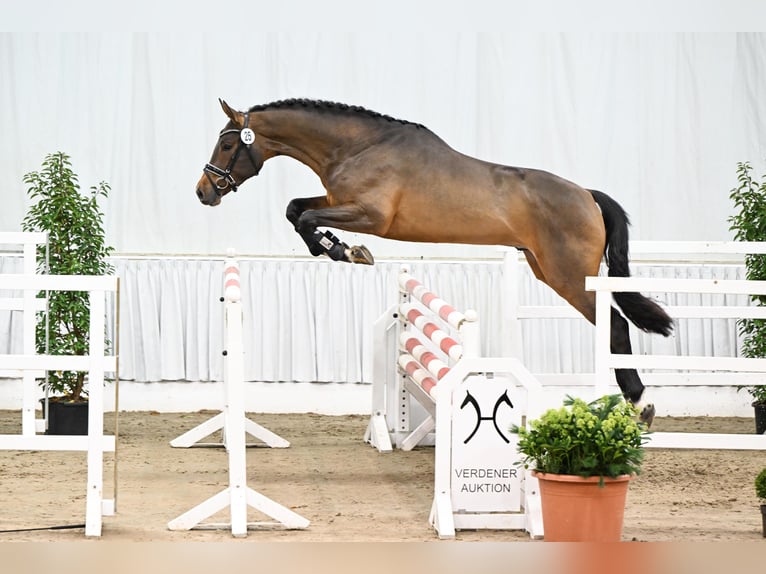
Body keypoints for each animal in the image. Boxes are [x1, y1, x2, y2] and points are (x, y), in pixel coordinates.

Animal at [196, 98, 672, 424]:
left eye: (226, 143)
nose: (204, 192)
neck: (357, 147)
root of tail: (587, 195)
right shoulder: (337, 201)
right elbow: (296, 210)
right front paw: (337, 248)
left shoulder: (370, 215)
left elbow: (306, 217)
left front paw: (346, 251)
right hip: (546, 269)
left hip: (571, 277)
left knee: (615, 327)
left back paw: (640, 405)